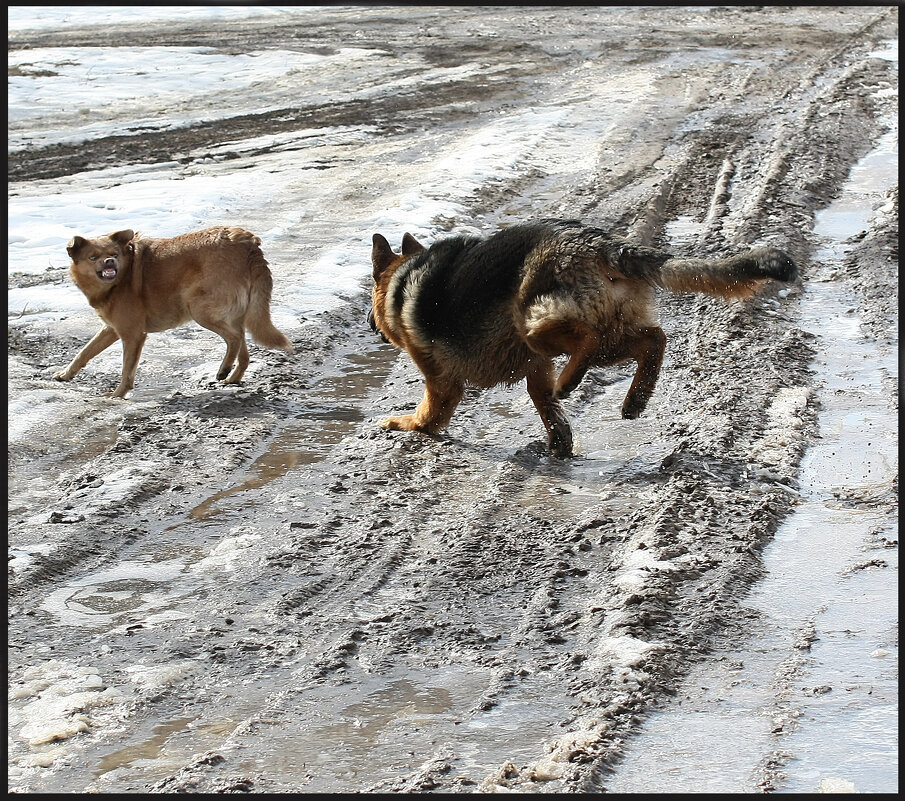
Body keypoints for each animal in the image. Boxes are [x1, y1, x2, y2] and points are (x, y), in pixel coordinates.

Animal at [54, 227, 294, 396]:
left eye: (113, 253)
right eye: (93, 257)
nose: (110, 261)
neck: (120, 278)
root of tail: (248, 243)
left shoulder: (132, 335)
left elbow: (126, 370)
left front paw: (117, 395)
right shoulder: (111, 329)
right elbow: (85, 352)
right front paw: (65, 375)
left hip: (198, 308)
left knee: (234, 338)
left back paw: (224, 369)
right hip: (231, 313)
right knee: (243, 346)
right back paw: (232, 377)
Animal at [364, 219, 796, 454]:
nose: (371, 324)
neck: (402, 279)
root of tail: (602, 245)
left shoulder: (442, 383)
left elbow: (427, 416)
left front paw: (401, 424)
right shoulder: (535, 372)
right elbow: (549, 411)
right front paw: (559, 447)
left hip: (535, 324)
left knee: (588, 341)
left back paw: (572, 382)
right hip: (604, 330)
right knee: (653, 338)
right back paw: (635, 399)